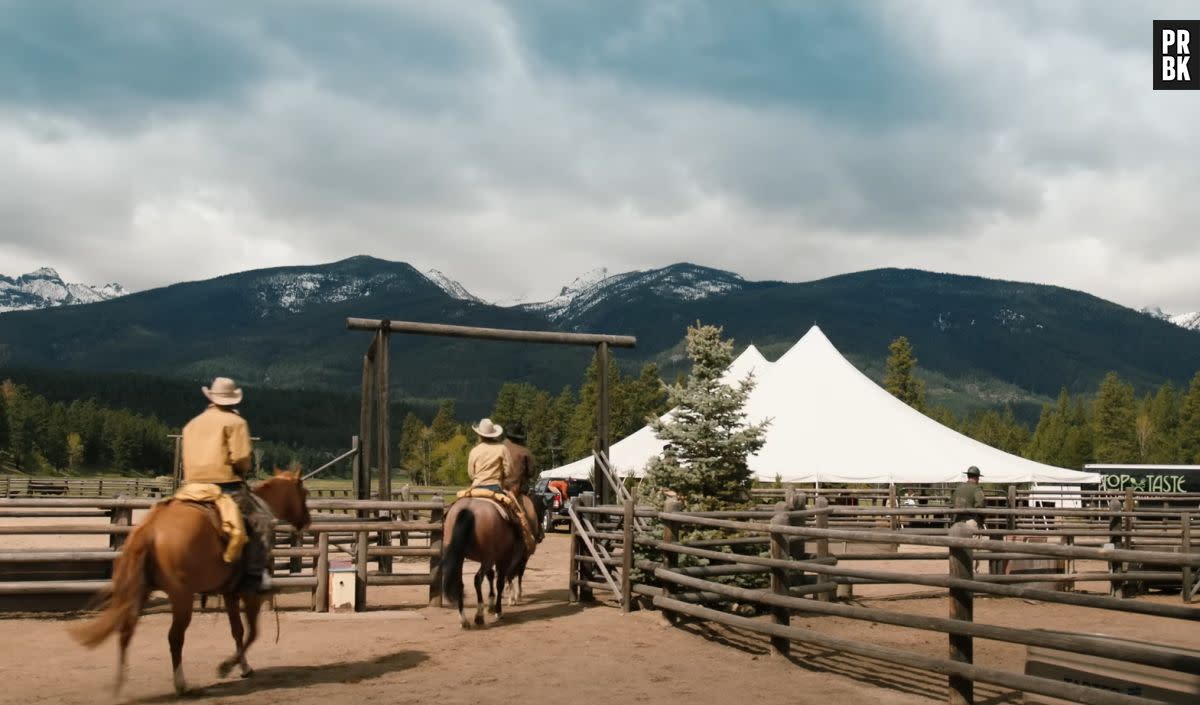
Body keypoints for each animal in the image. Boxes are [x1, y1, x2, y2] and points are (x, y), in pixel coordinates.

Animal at [70, 470, 312, 695]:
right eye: (304, 492)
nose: (307, 520)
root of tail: (150, 528)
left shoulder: (229, 593)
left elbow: (237, 630)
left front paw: (243, 666)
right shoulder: (250, 594)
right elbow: (252, 632)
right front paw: (227, 666)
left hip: (140, 591)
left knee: (126, 630)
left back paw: (119, 684)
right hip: (182, 598)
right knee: (174, 638)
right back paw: (181, 684)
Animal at [444, 496, 528, 628]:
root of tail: (468, 509)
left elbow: (491, 576)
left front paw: (491, 604)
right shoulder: (502, 559)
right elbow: (499, 583)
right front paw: (498, 611)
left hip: (460, 557)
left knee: (459, 583)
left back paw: (464, 620)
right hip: (487, 559)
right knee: (478, 579)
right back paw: (479, 615)